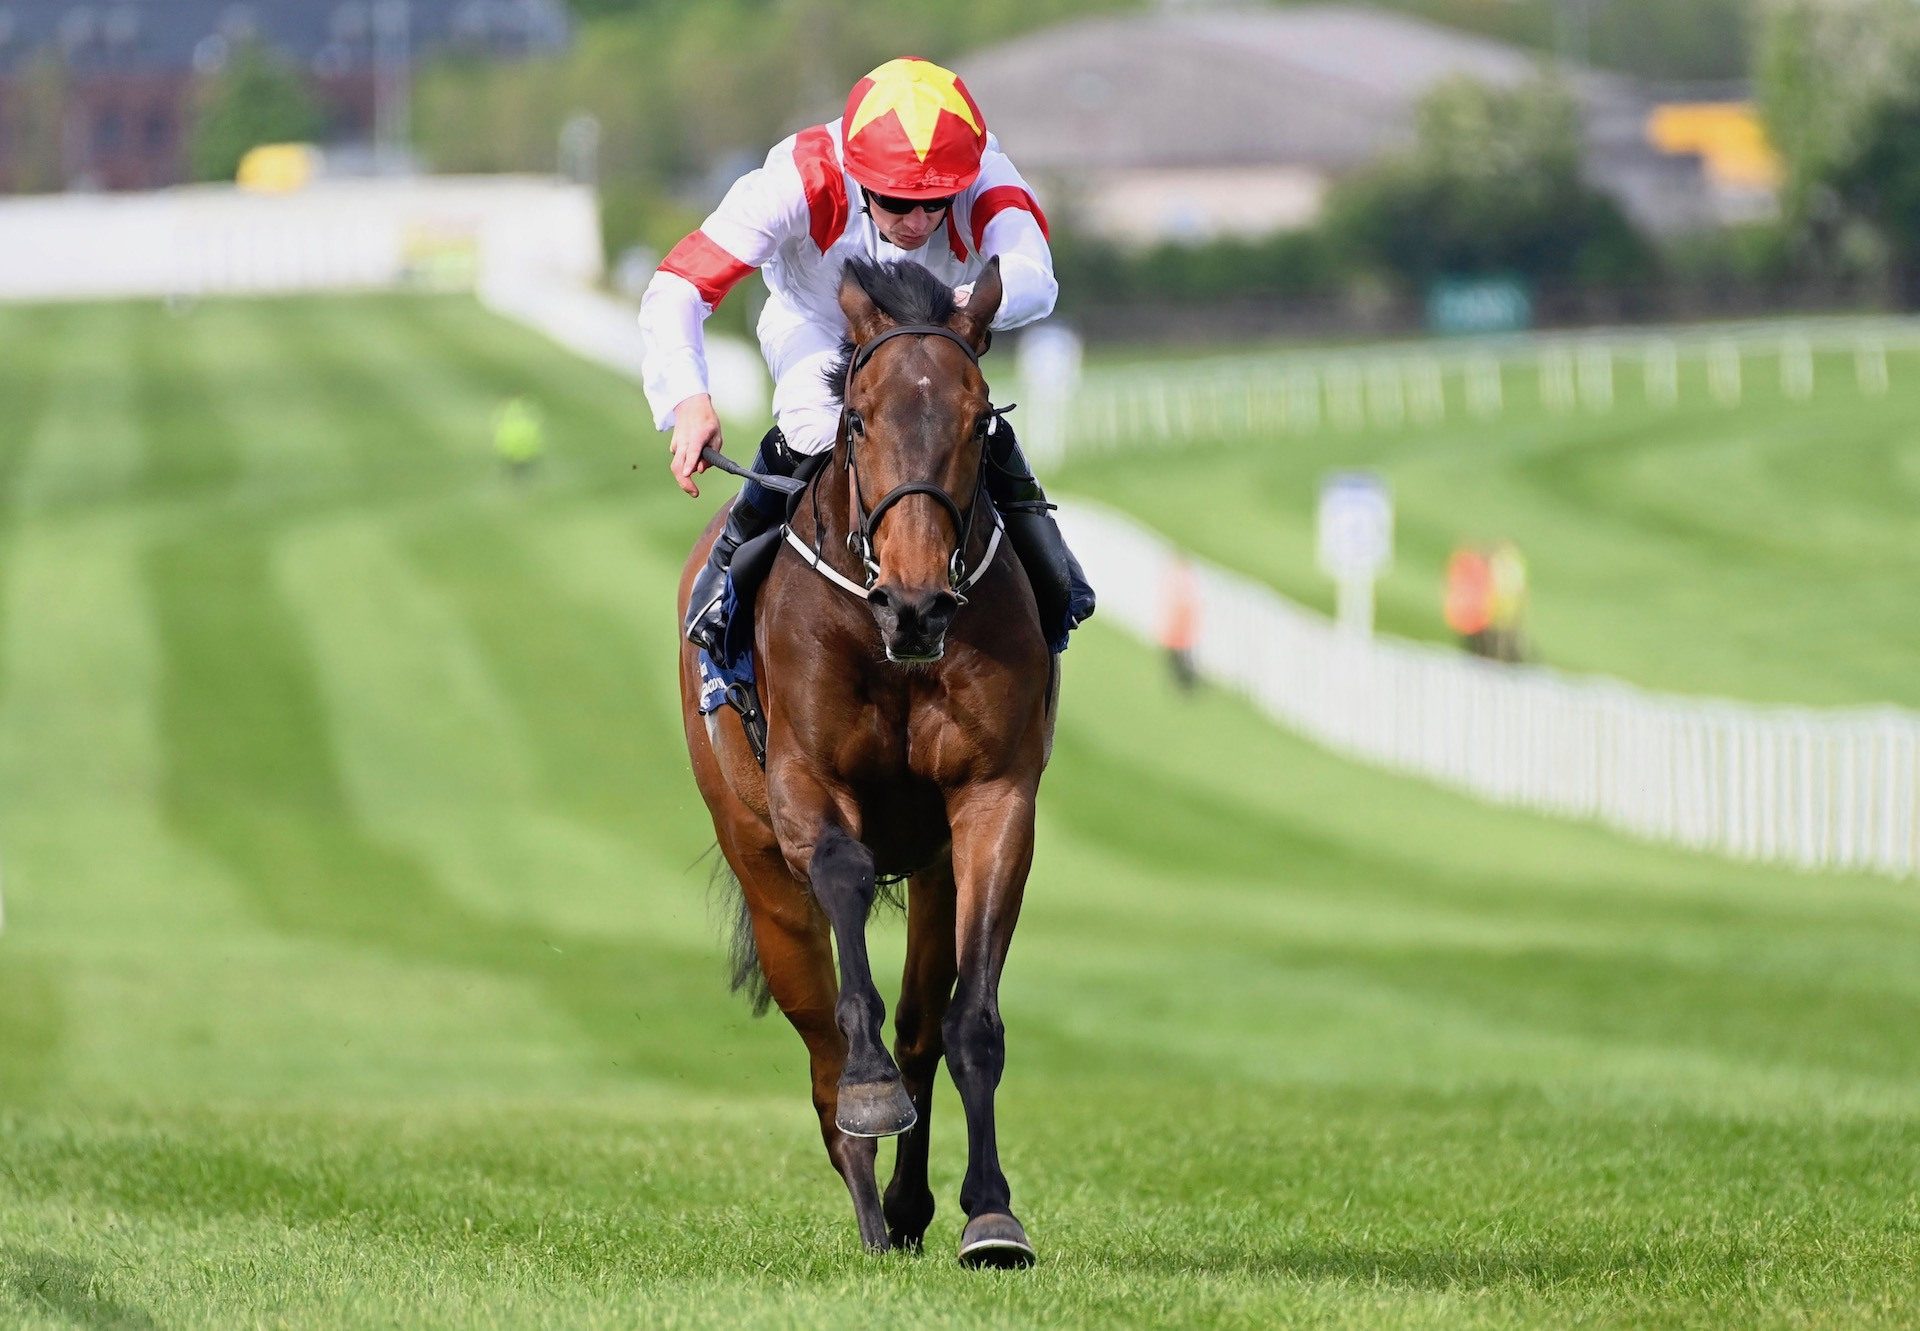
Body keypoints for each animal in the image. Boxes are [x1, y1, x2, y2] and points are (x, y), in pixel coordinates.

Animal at [683, 253, 1059, 1259]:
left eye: (981, 418)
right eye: (859, 417)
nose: (918, 605)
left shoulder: (993, 798)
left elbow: (971, 1021)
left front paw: (990, 1211)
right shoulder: (806, 787)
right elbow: (848, 889)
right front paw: (870, 1087)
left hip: (931, 869)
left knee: (926, 1024)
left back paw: (909, 1205)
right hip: (761, 867)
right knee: (819, 1044)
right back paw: (868, 1202)